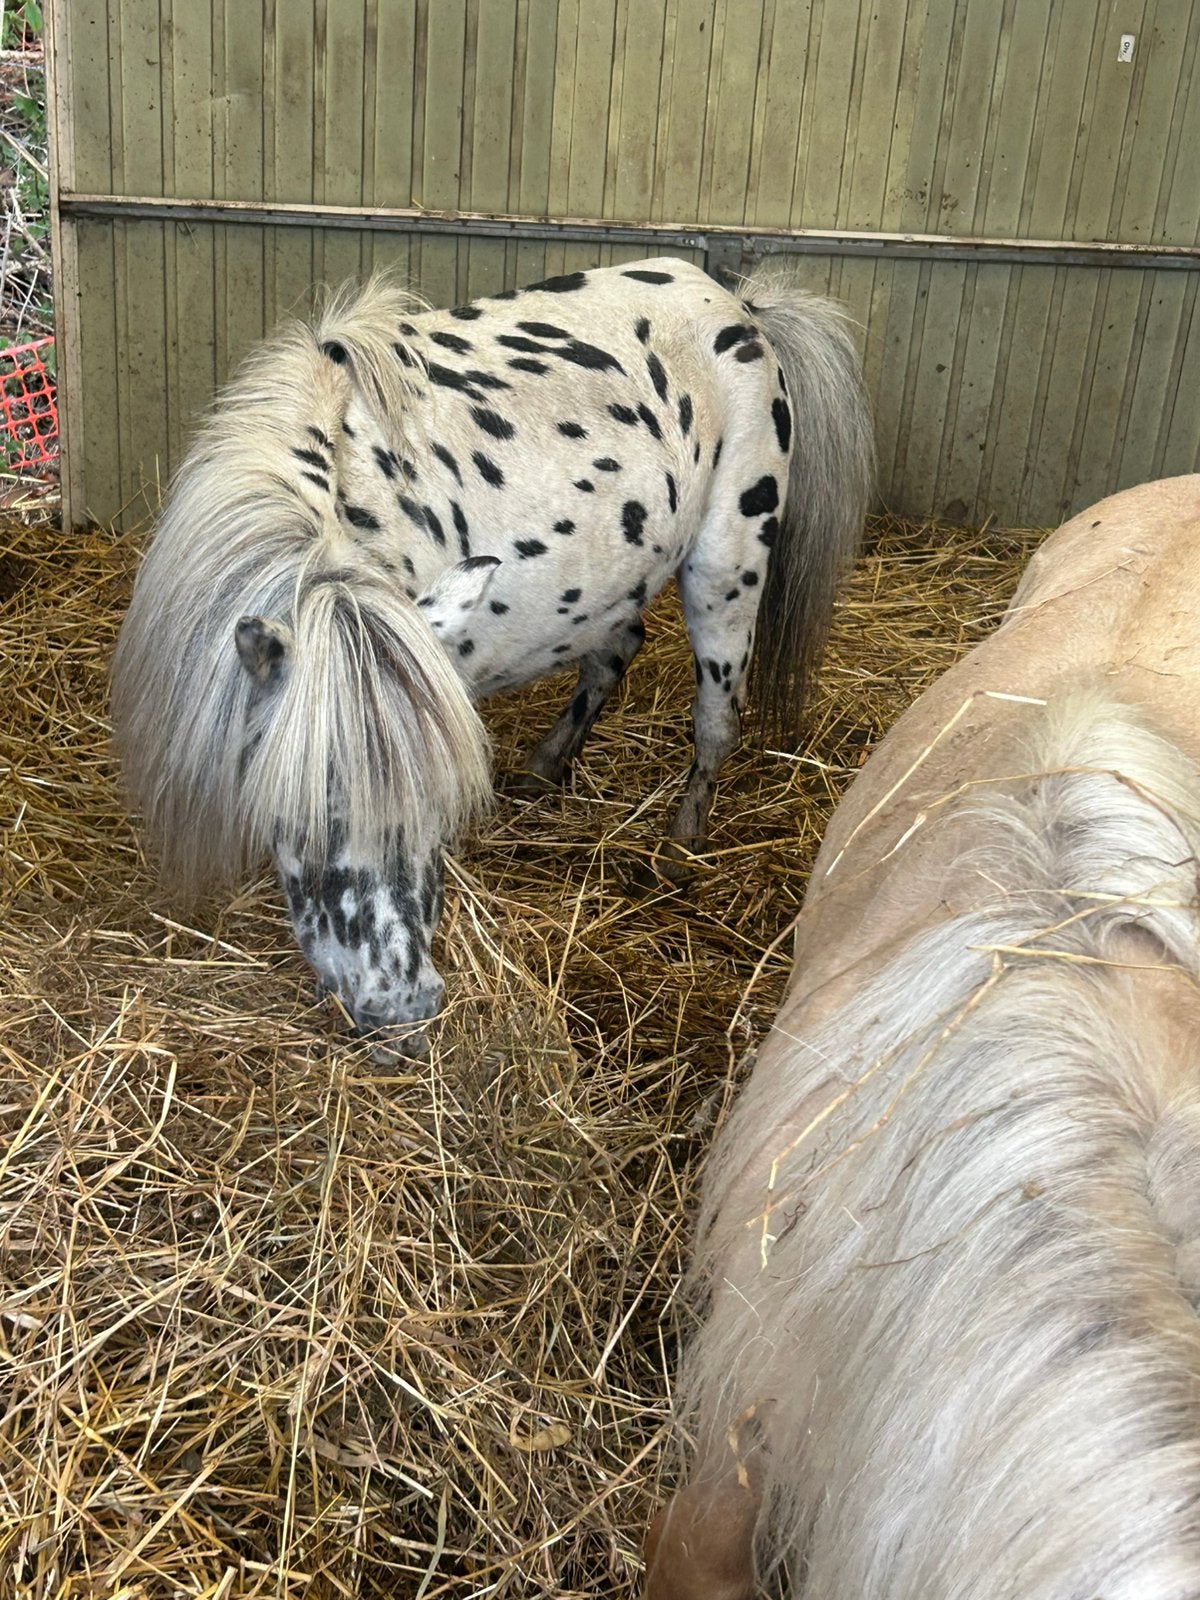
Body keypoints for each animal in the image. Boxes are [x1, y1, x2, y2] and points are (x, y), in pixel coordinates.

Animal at [110, 257, 873, 1058]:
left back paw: (679, 845)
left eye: (439, 805)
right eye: (308, 806)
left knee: (717, 720)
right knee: (614, 655)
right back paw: (541, 773)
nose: (402, 1013)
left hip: (727, 570)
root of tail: (741, 306)